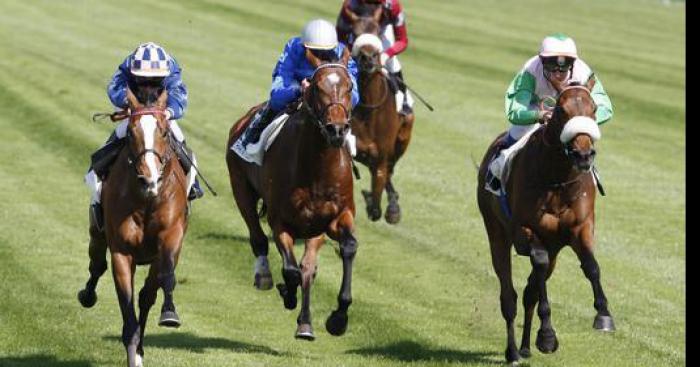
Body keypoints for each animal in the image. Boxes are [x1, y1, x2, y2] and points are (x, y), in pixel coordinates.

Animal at [78, 89, 189, 367]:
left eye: (163, 132)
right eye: (130, 133)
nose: (149, 179)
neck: (146, 199)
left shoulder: (170, 238)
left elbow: (165, 277)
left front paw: (169, 314)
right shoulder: (122, 251)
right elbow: (127, 310)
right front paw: (133, 351)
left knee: (146, 295)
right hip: (97, 231)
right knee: (97, 265)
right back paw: (87, 295)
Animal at [227, 47, 358, 340]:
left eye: (350, 86)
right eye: (317, 87)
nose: (336, 129)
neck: (317, 168)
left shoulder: (335, 217)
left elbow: (347, 248)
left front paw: (338, 318)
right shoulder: (281, 221)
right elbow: (290, 270)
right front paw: (287, 292)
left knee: (308, 267)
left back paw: (306, 323)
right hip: (241, 188)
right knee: (258, 238)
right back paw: (265, 276)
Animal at [348, 15, 412, 223]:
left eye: (376, 32)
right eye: (354, 33)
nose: (367, 58)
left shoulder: (381, 157)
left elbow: (376, 208)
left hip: (403, 140)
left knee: (390, 170)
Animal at [478, 79, 616, 364]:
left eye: (594, 108)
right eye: (561, 110)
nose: (584, 155)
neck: (557, 179)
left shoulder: (580, 228)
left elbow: (591, 266)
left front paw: (604, 315)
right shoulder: (525, 231)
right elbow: (538, 268)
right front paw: (548, 336)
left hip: (554, 250)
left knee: (529, 292)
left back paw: (525, 347)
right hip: (496, 233)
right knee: (509, 296)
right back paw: (513, 351)